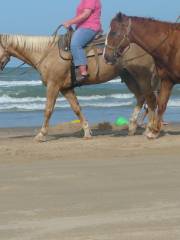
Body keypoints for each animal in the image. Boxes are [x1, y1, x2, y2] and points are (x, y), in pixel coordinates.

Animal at [0, 33, 159, 141]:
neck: (47, 53)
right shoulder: (65, 88)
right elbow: (76, 108)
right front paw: (87, 133)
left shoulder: (53, 85)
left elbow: (48, 110)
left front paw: (41, 134)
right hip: (128, 77)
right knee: (141, 97)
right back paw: (132, 127)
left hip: (141, 76)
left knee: (150, 99)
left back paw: (149, 130)